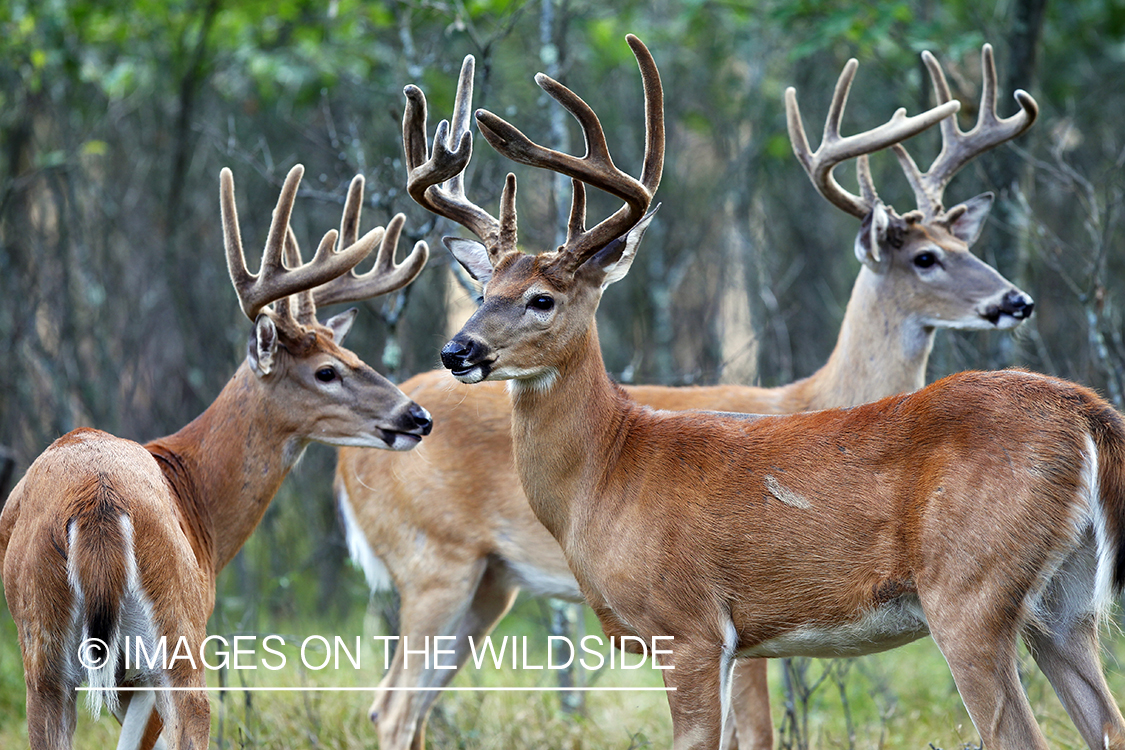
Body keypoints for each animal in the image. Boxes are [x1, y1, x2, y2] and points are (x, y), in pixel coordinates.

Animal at [0, 165, 432, 750]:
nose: (417, 417)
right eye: (326, 371)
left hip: (43, 651)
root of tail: (97, 505)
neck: (194, 493)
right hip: (177, 630)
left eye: (352, 353)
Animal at [330, 39, 1035, 750]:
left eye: (541, 298)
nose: (458, 350)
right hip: (435, 559)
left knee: (403, 705)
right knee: (394, 705)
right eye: (924, 257)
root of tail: (345, 459)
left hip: (484, 581)